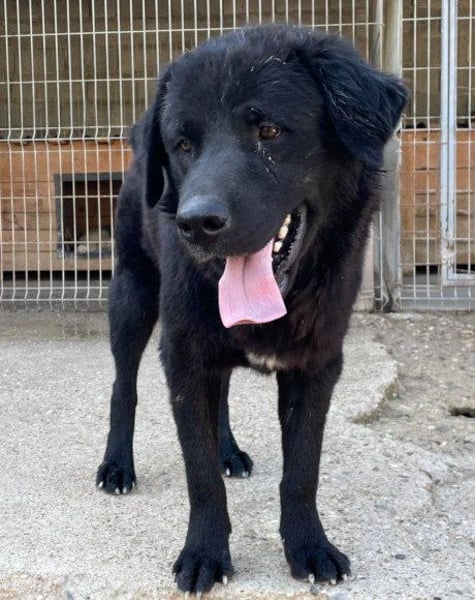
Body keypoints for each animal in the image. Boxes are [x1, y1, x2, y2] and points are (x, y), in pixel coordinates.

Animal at [97, 24, 408, 595]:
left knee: (220, 396)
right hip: (131, 297)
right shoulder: (183, 357)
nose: (196, 223)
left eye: (269, 130)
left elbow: (302, 470)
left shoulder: (318, 366)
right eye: (183, 144)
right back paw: (116, 465)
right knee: (122, 386)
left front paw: (309, 546)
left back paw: (228, 452)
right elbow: (198, 475)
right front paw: (204, 553)